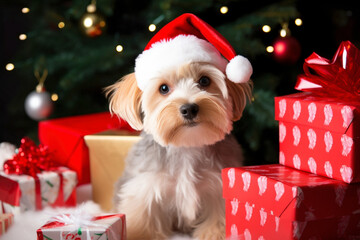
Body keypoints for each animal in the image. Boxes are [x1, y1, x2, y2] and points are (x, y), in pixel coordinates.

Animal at [106, 13, 253, 240]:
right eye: (163, 88)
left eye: (204, 81)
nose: (189, 108)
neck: (187, 146)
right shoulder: (145, 189)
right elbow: (143, 220)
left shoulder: (217, 190)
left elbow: (218, 220)